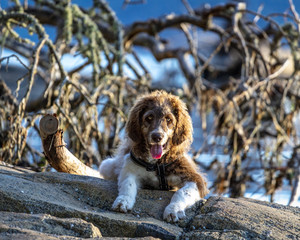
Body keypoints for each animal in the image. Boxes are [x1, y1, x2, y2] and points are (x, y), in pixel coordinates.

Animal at [99, 90, 207, 223]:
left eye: (169, 119)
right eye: (149, 118)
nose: (157, 137)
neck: (157, 163)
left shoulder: (195, 179)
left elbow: (182, 192)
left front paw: (173, 210)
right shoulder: (129, 169)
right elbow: (128, 184)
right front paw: (123, 201)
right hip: (107, 166)